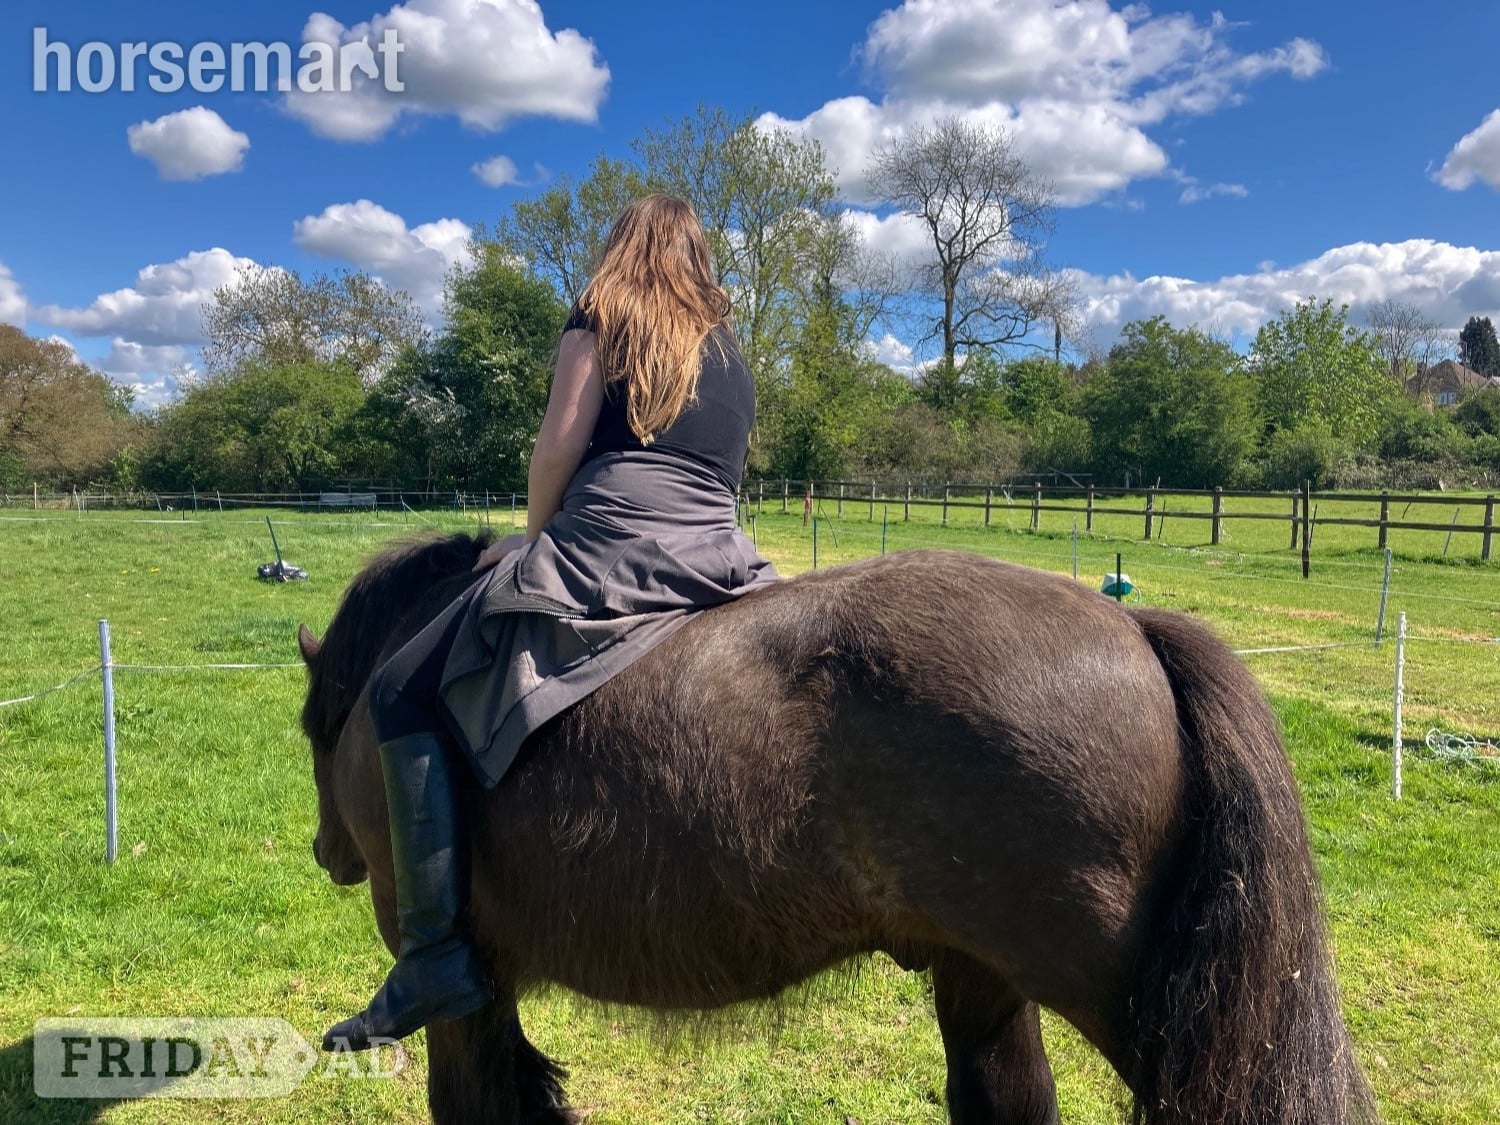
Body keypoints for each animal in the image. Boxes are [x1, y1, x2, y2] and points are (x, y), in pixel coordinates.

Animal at [296, 532, 1376, 1125]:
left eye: (313, 725)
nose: (326, 856)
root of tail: (1134, 629)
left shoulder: (465, 998)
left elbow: (472, 1102)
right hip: (986, 977)